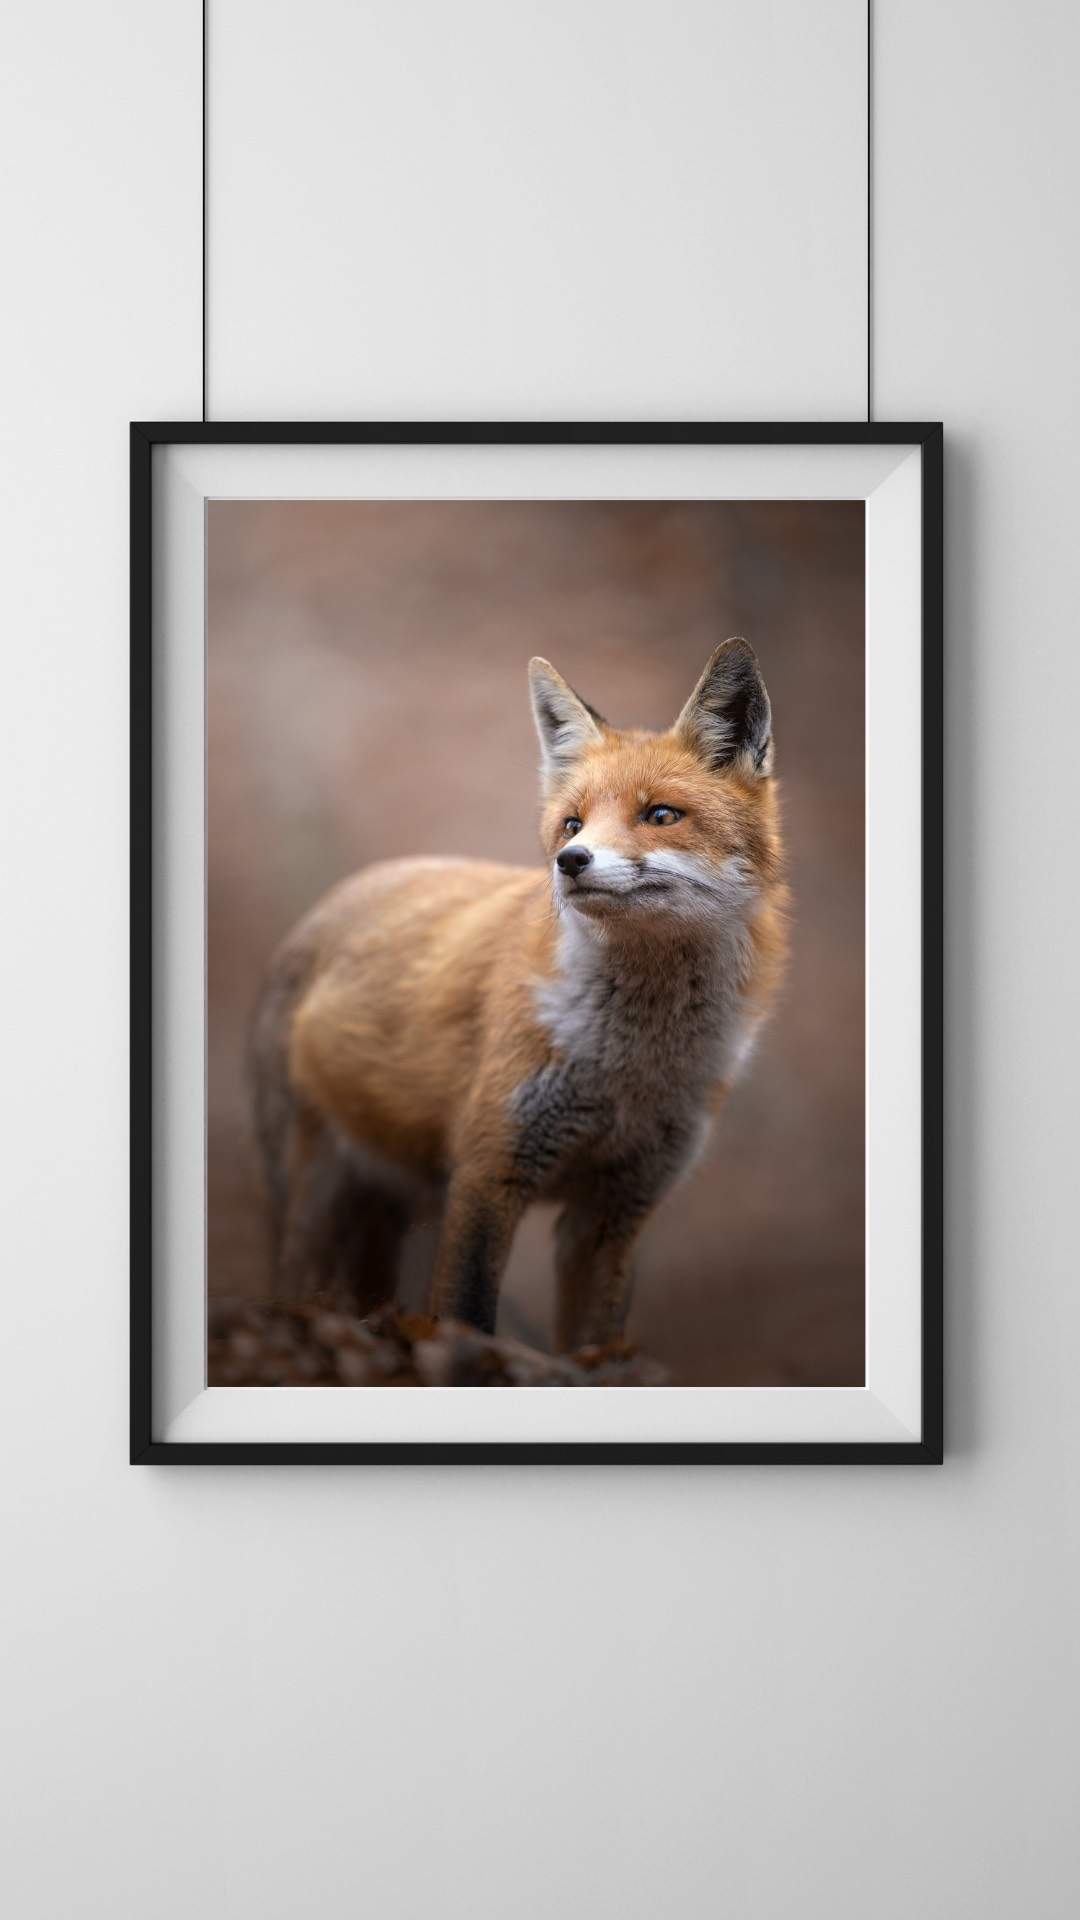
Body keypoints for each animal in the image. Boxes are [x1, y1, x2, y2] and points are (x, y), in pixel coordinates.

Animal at [249, 638, 787, 1352]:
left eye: (661, 816)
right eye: (572, 824)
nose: (572, 862)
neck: (631, 1065)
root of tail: (336, 897)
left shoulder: (617, 1207)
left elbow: (593, 1342)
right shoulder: (489, 1169)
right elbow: (467, 1311)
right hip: (315, 1194)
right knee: (293, 1280)